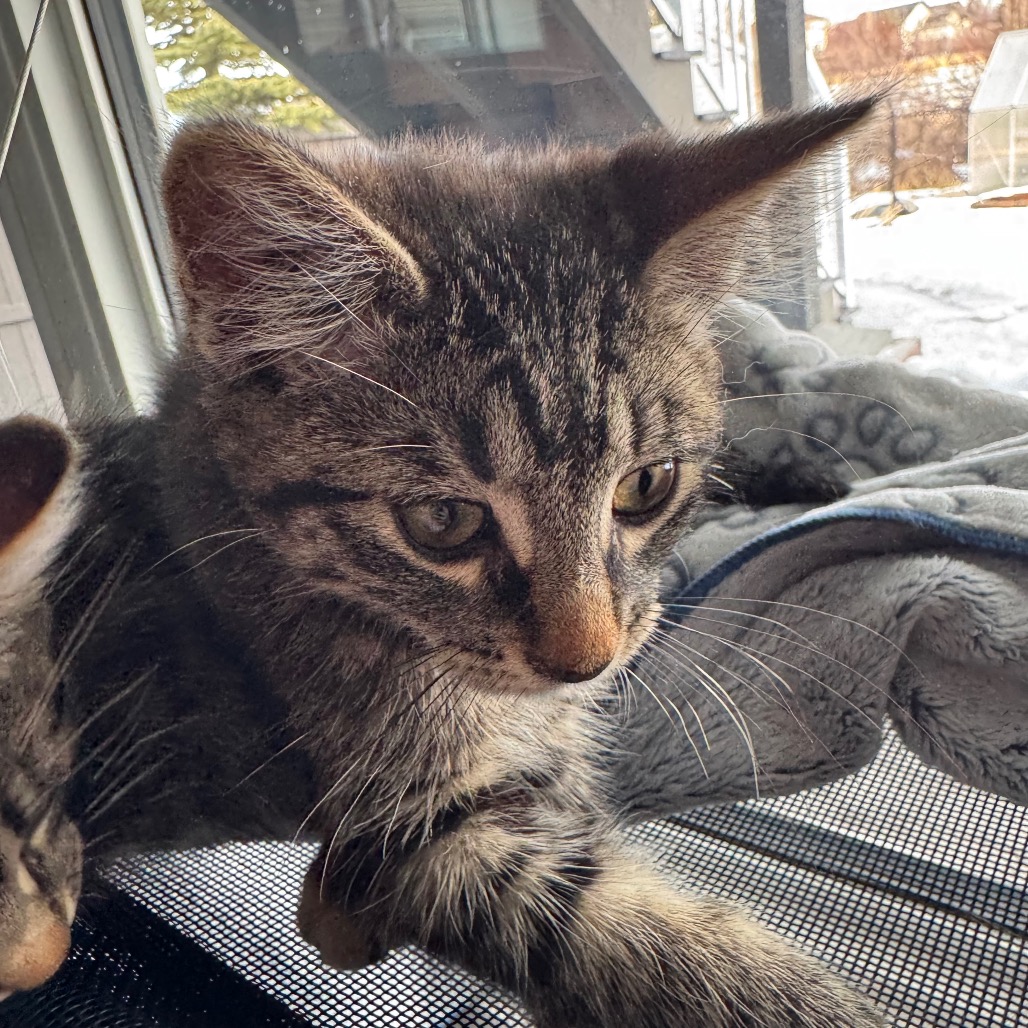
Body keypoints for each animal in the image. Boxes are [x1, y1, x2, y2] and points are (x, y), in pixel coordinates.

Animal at [0, 99, 887, 1025]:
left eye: (646, 485)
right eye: (443, 522)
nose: (585, 661)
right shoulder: (412, 829)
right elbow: (610, 930)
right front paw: (802, 1000)